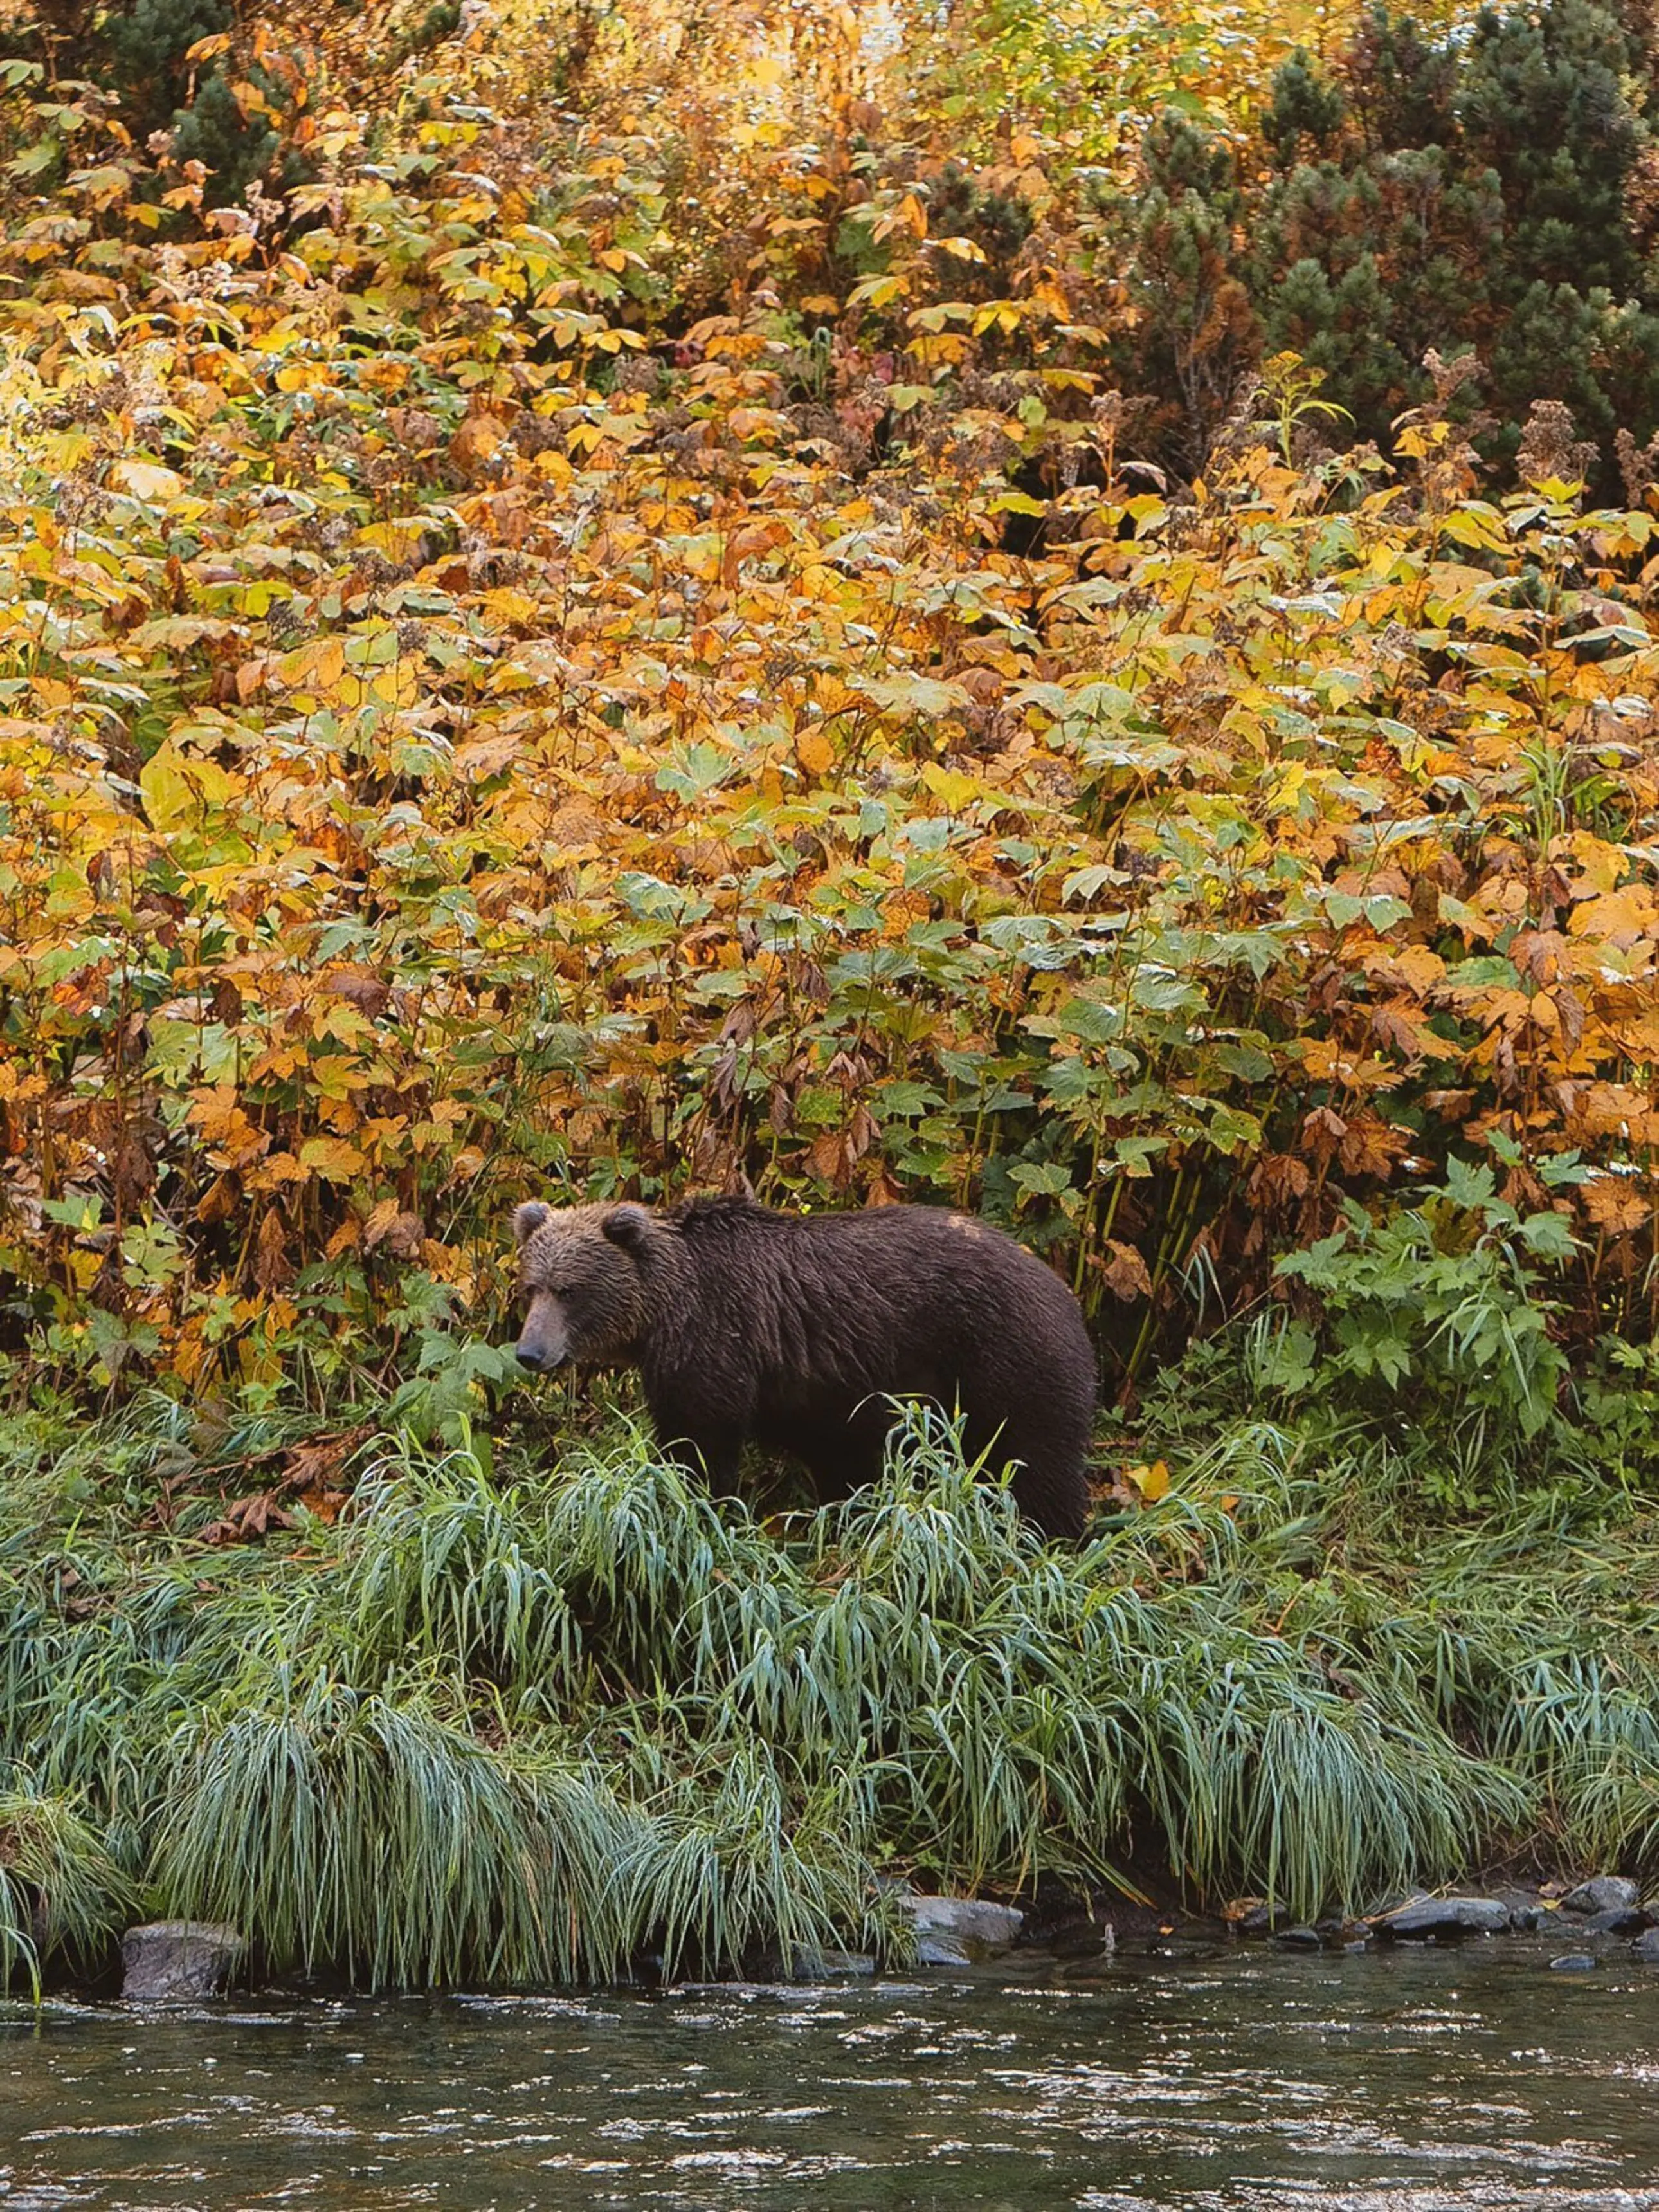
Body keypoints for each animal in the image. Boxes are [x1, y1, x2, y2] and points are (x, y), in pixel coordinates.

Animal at [513, 1194, 1097, 1539]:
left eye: (570, 1290)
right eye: (532, 1286)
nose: (529, 1352)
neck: (662, 1312)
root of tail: (1065, 1292)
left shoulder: (716, 1340)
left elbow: (699, 1441)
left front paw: (696, 1503)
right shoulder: (819, 1394)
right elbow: (842, 1462)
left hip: (1003, 1358)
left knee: (1035, 1461)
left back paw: (1053, 1537)